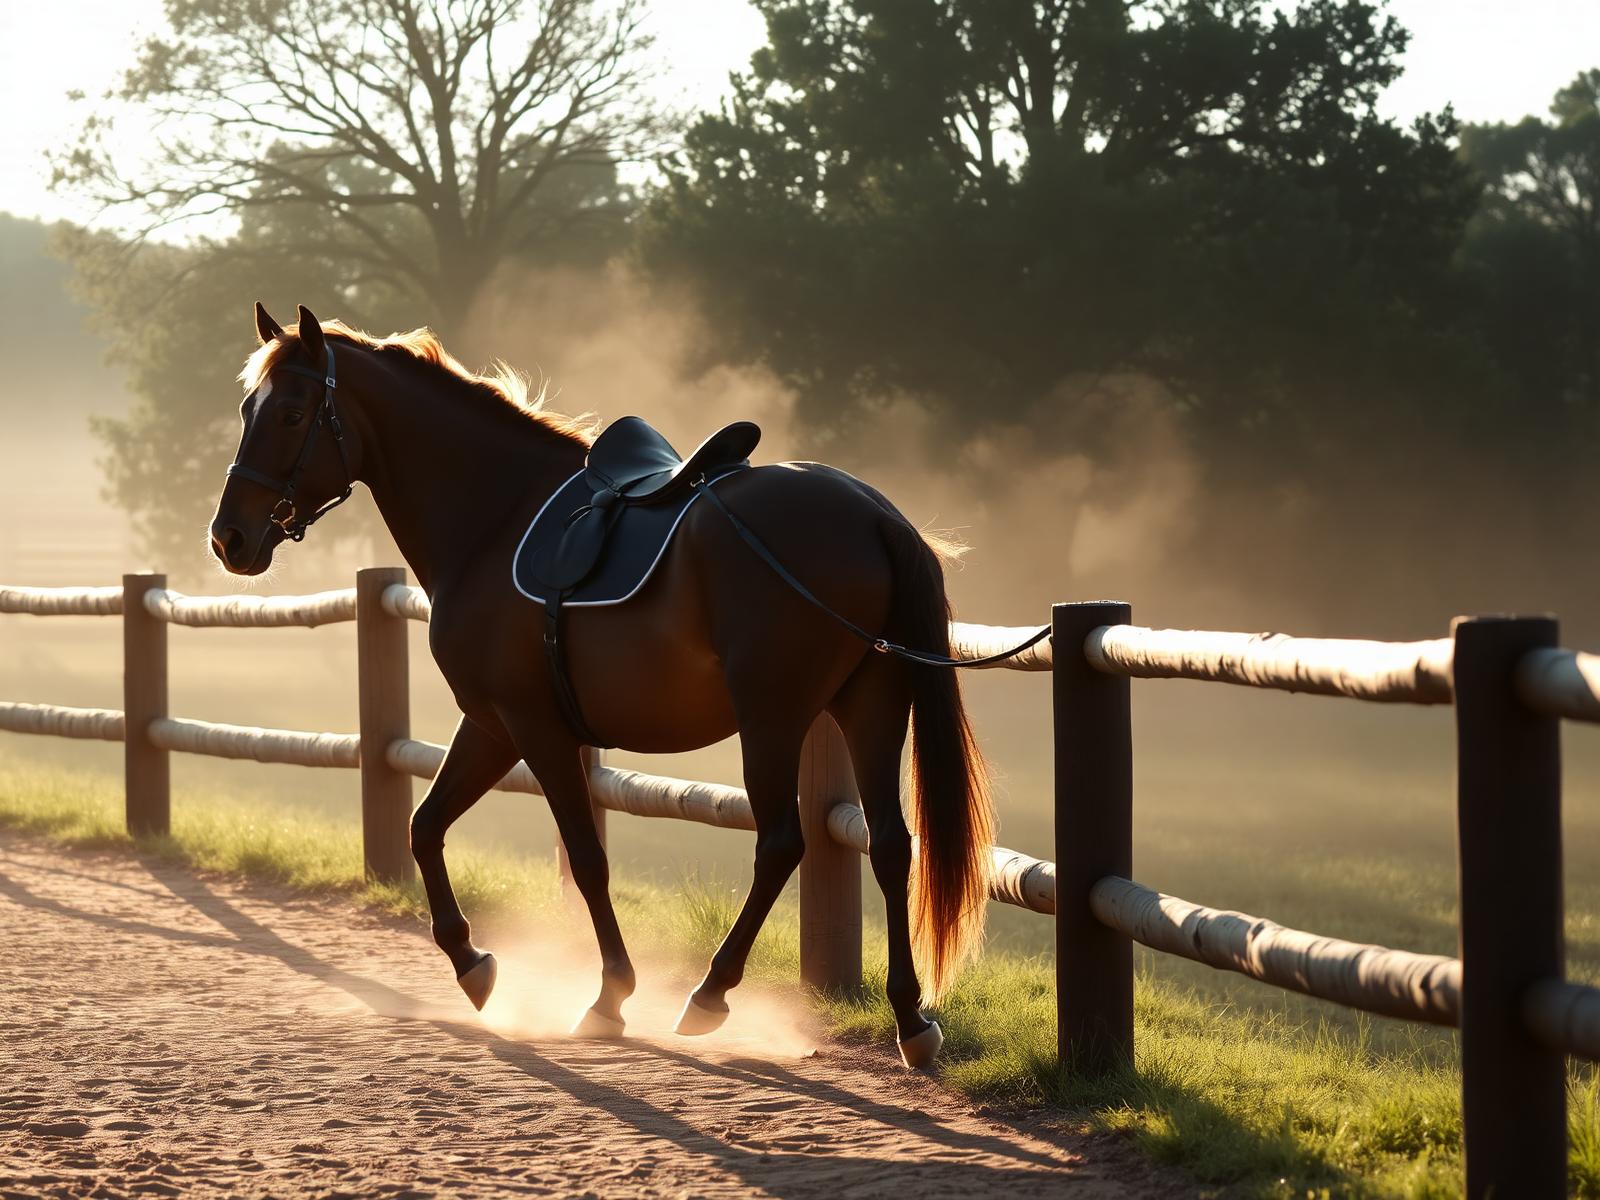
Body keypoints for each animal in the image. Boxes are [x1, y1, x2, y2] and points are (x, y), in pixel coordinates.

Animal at [207, 303, 995, 1069]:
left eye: (291, 415)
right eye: (247, 407)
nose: (228, 539)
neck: (495, 518)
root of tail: (872, 513)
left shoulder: (535, 728)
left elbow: (586, 858)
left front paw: (610, 995)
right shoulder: (491, 726)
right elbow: (424, 826)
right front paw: (472, 964)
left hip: (773, 718)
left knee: (780, 844)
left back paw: (710, 994)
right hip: (870, 707)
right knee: (890, 845)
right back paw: (910, 1019)